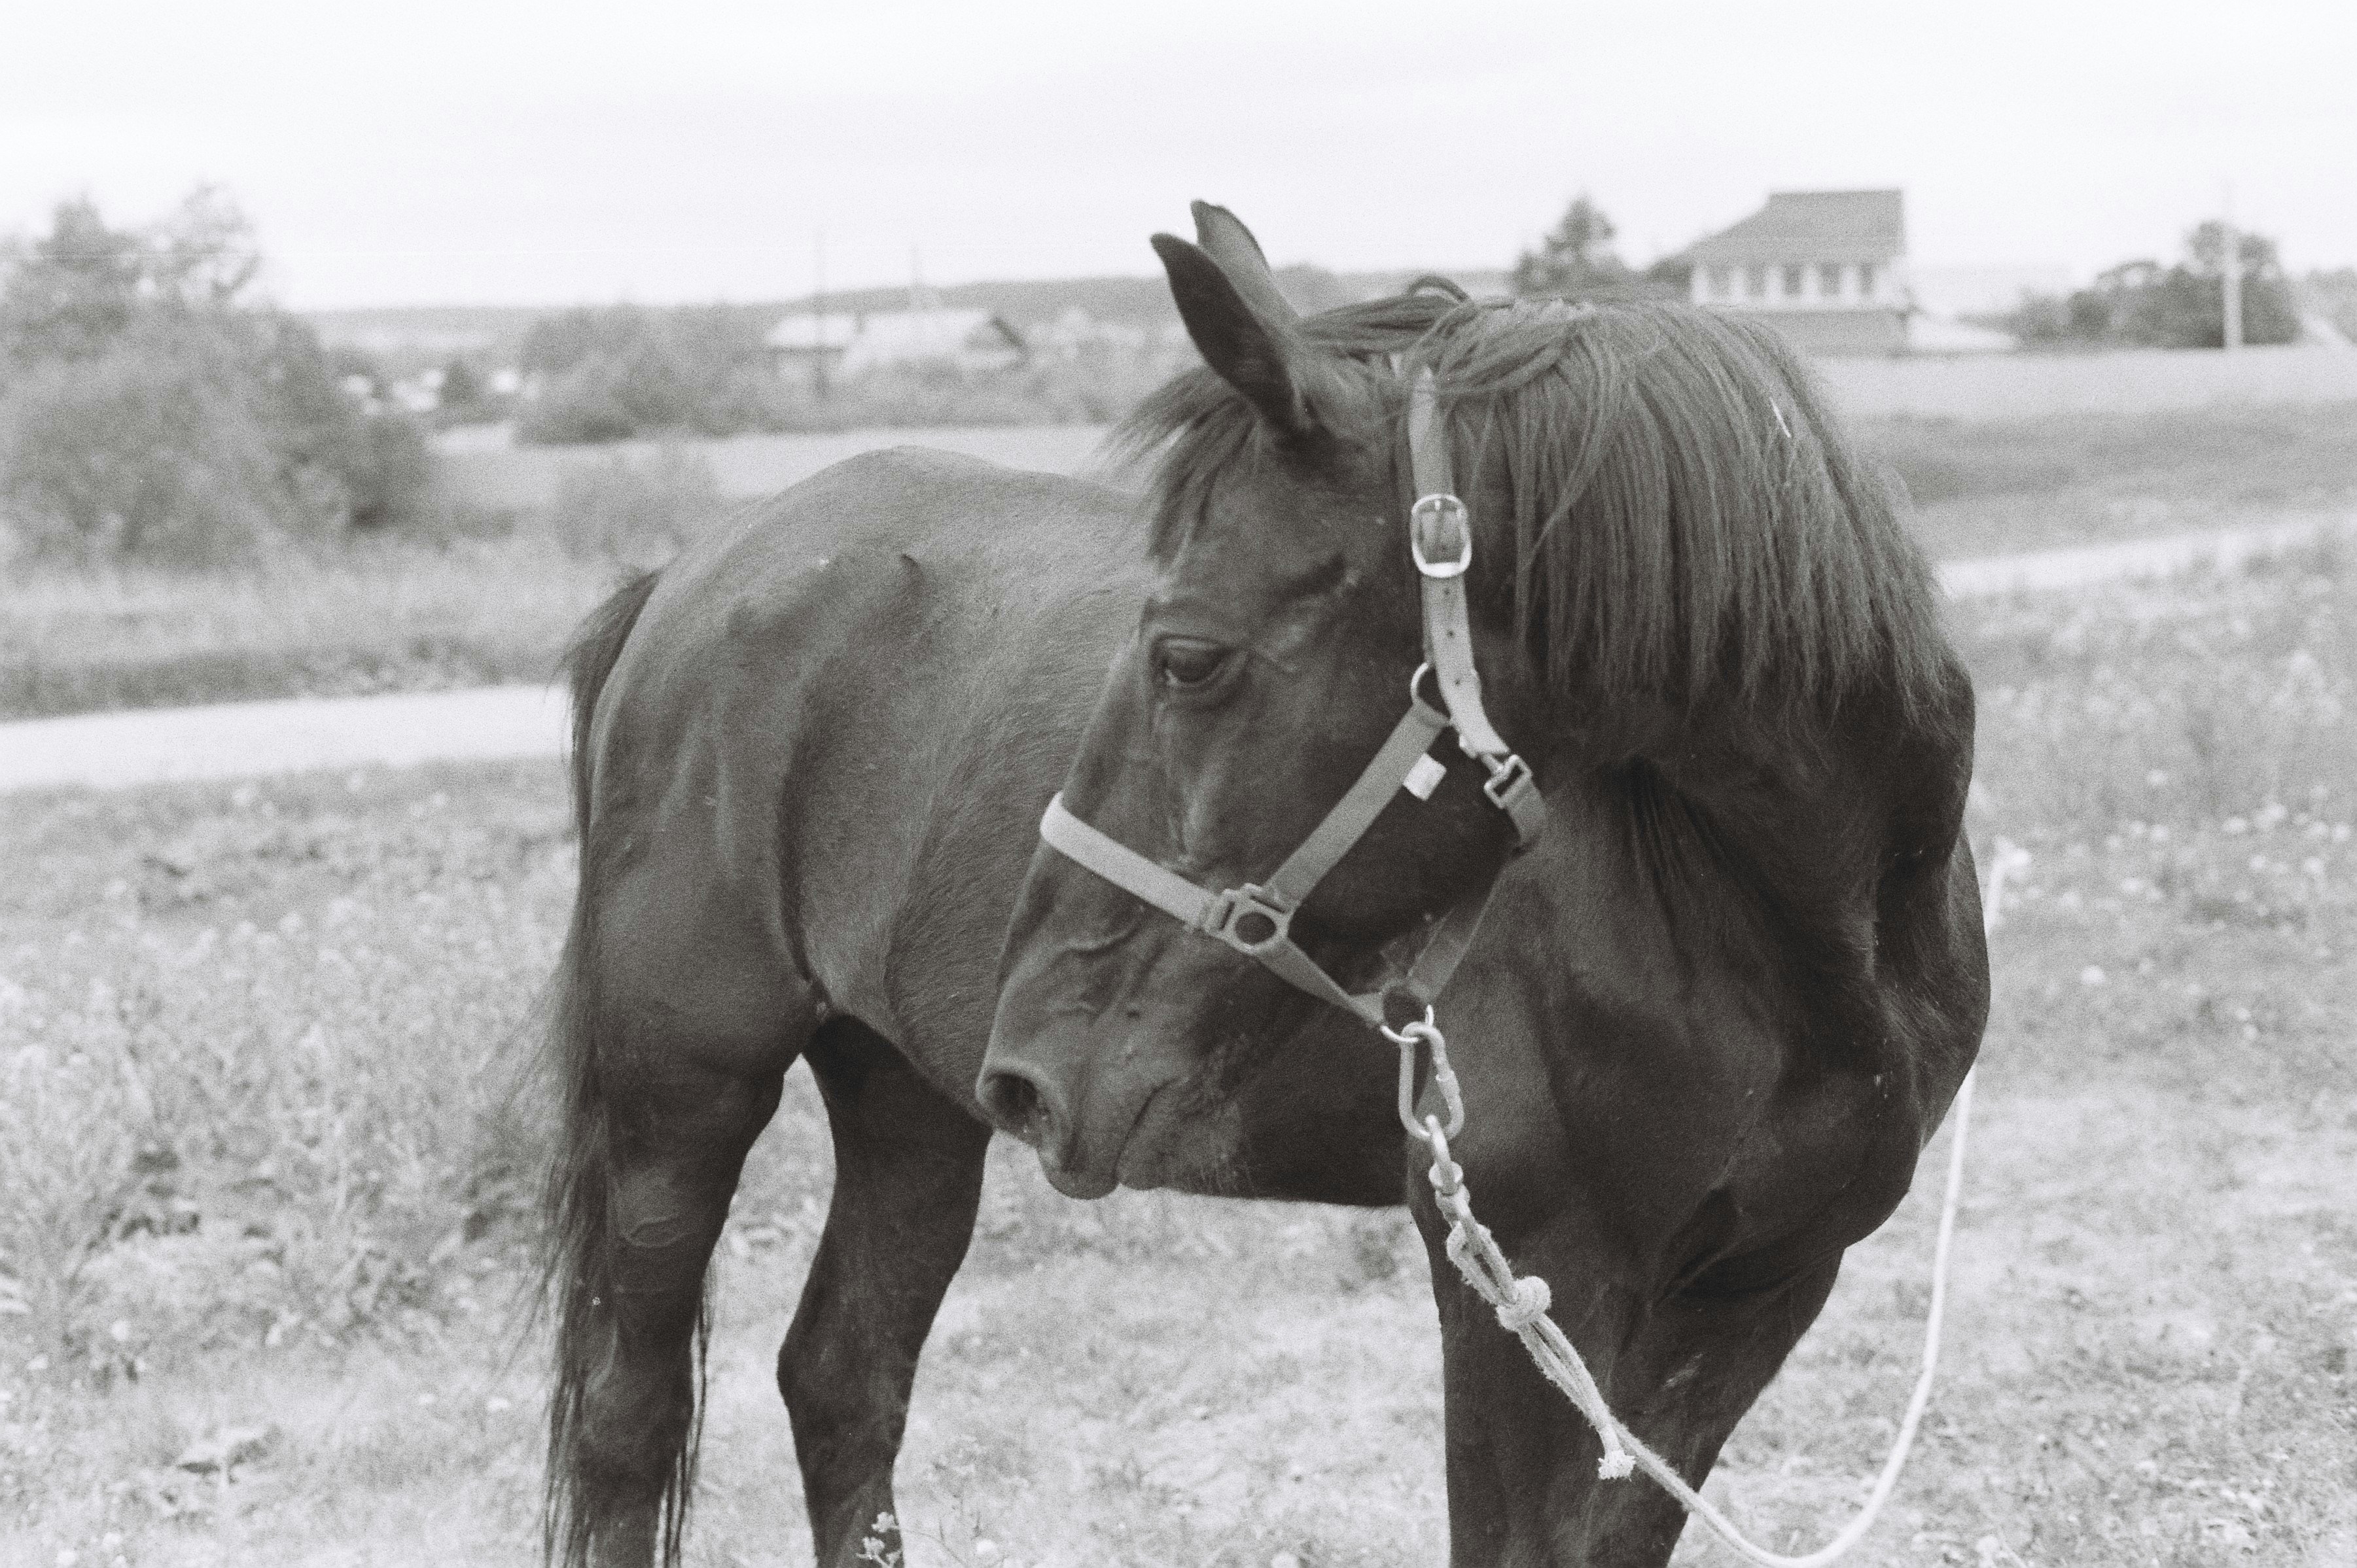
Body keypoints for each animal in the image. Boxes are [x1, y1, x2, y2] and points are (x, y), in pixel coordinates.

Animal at [540, 204, 1989, 1568]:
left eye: (1187, 656)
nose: (1035, 1065)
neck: (1802, 945)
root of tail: (696, 572)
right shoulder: (1523, 1283)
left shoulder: (1761, 1288)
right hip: (684, 1093)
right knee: (630, 1415)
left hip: (907, 1094)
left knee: (844, 1377)